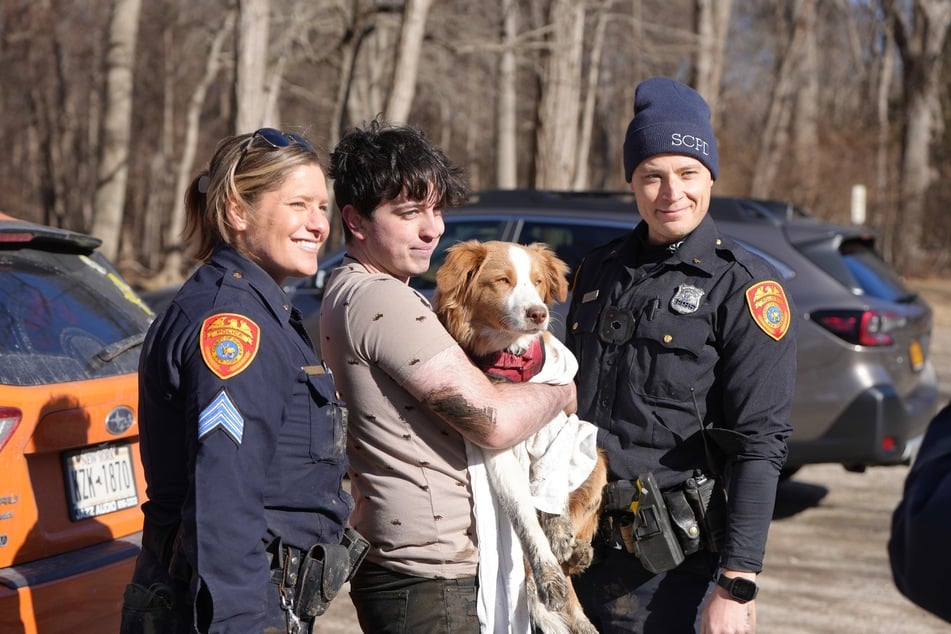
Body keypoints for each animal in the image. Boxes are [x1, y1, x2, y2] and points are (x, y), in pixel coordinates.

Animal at [434, 238, 608, 632]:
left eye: (538, 281)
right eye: (503, 281)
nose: (539, 314)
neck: (510, 358)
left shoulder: (559, 423)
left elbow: (552, 486)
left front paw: (559, 531)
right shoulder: (498, 447)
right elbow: (524, 516)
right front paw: (548, 574)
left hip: (597, 462)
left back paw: (576, 551)